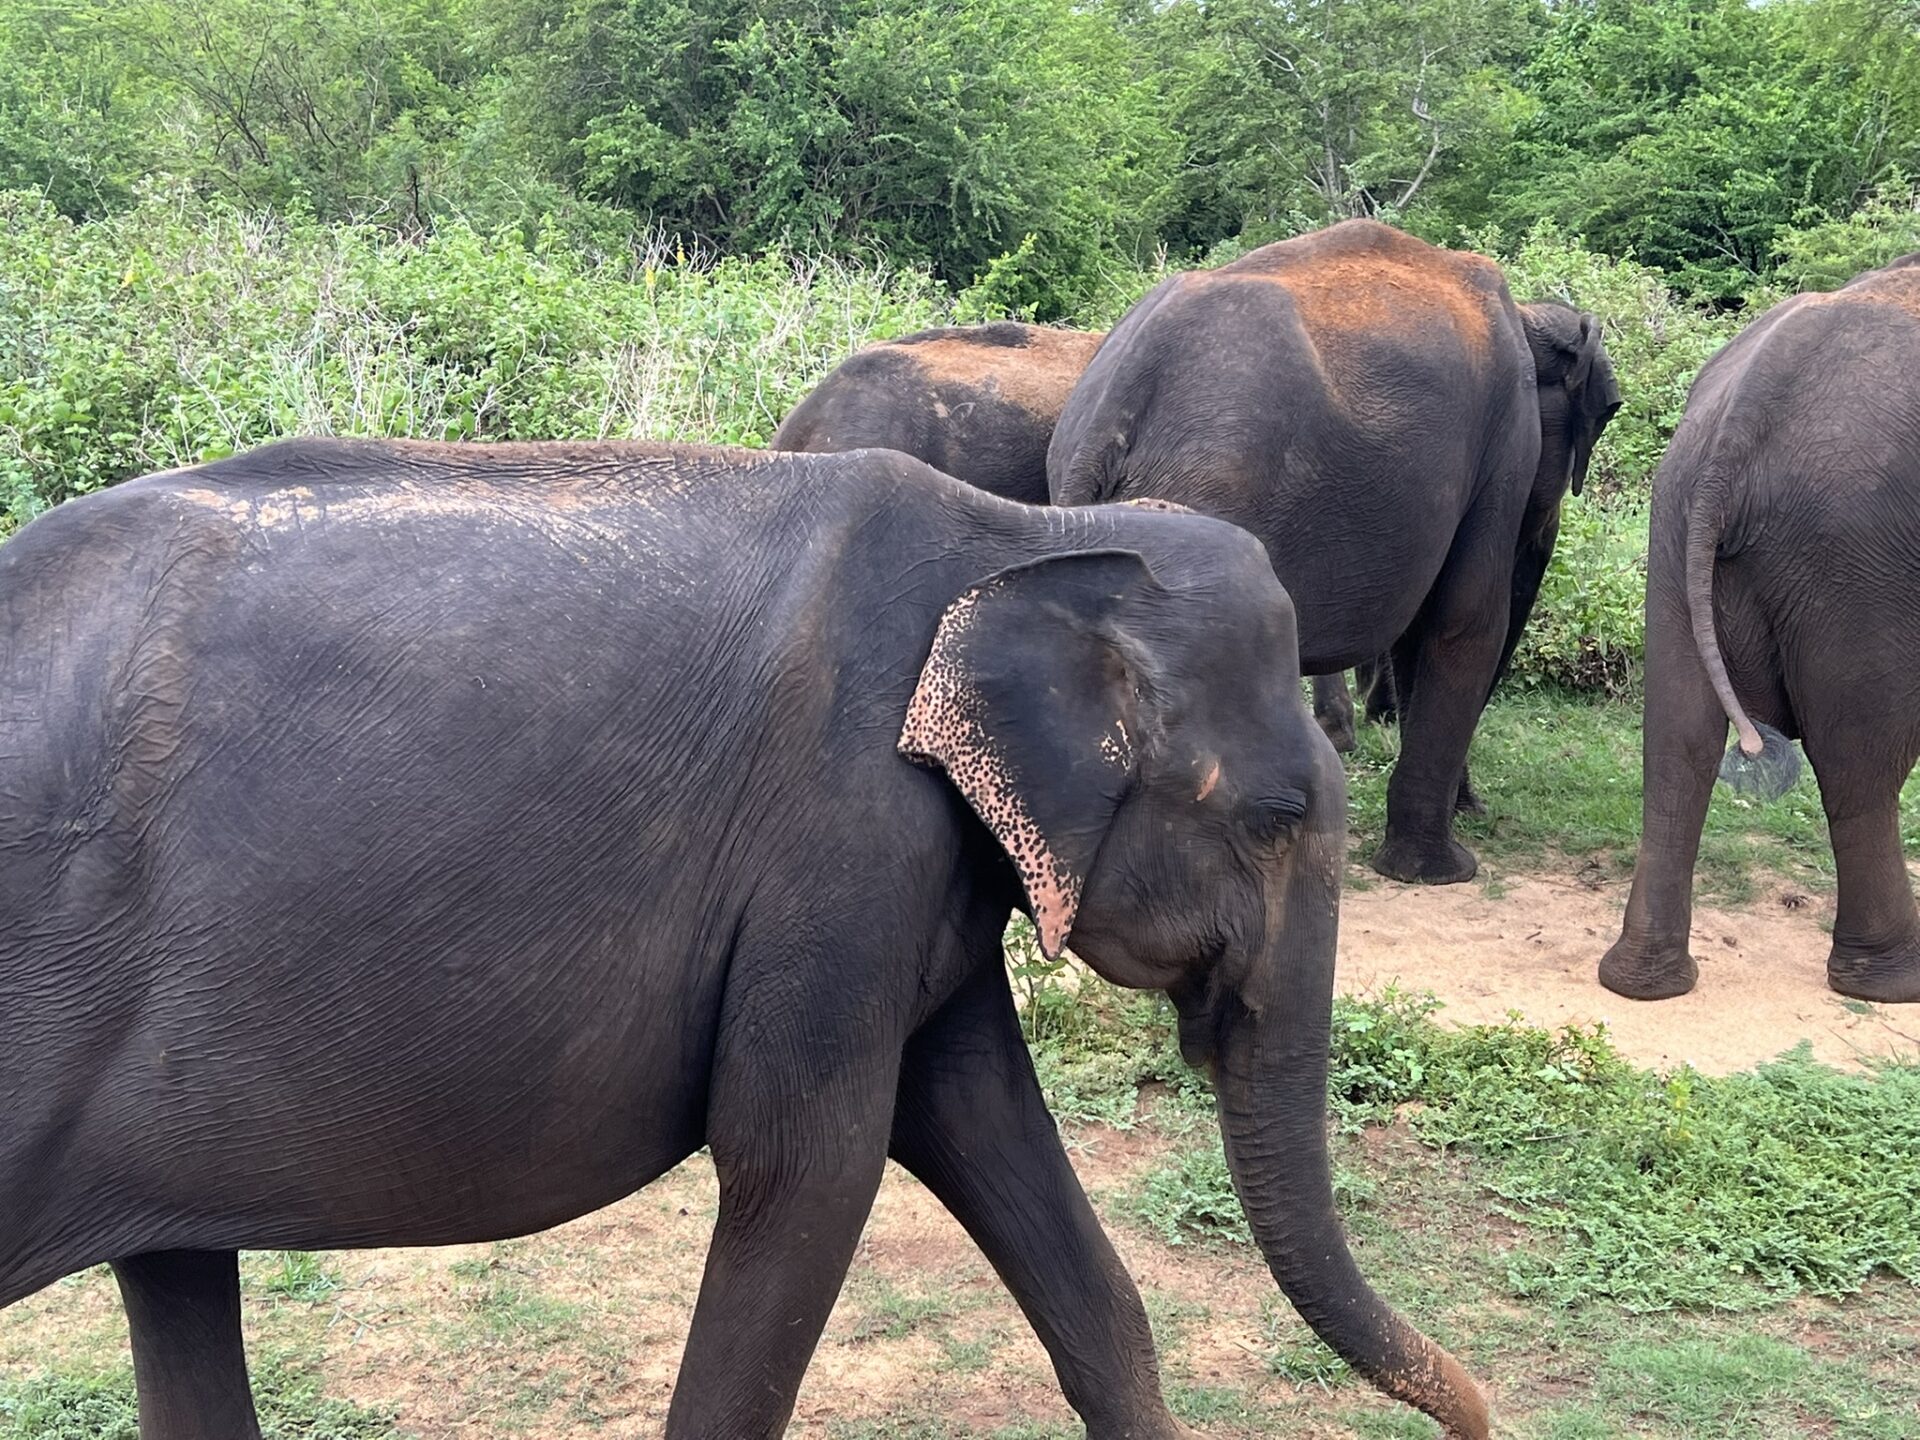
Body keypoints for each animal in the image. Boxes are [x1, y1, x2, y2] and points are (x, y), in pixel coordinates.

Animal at [0, 437, 1491, 1440]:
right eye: (1276, 818)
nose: (1476, 1414)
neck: (1025, 532)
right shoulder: (838, 844)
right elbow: (805, 1165)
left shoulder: (916, 880)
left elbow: (985, 1134)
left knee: (175, 1274)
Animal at [1049, 219, 1621, 883]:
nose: (1475, 807)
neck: (1528, 317)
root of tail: (1114, 404)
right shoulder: (1504, 444)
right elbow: (1466, 620)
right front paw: (1444, 870)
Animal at [1601, 255, 1920, 1005]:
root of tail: (1747, 417)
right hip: (1857, 551)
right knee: (1860, 763)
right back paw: (1893, 983)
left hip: (1676, 512)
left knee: (1678, 739)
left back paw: (1643, 983)